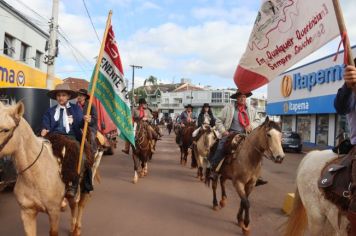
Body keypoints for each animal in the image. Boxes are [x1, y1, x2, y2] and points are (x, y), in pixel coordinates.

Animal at [0, 102, 103, 236]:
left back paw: (77, 229)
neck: (34, 174)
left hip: (86, 186)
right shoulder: (27, 212)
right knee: (73, 205)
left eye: (6, 129)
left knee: (80, 206)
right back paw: (72, 228)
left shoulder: (54, 212)